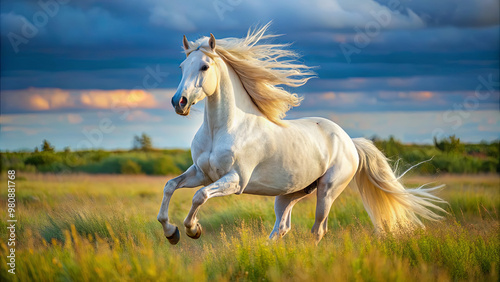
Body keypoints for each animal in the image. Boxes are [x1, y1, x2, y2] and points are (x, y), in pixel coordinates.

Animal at [156, 24, 446, 245]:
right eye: (182, 66)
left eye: (204, 67)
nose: (179, 102)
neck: (224, 129)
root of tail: (349, 142)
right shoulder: (201, 173)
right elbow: (170, 185)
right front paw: (171, 233)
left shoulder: (235, 180)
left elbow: (199, 196)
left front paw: (193, 230)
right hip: (291, 193)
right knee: (281, 228)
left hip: (327, 191)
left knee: (318, 229)